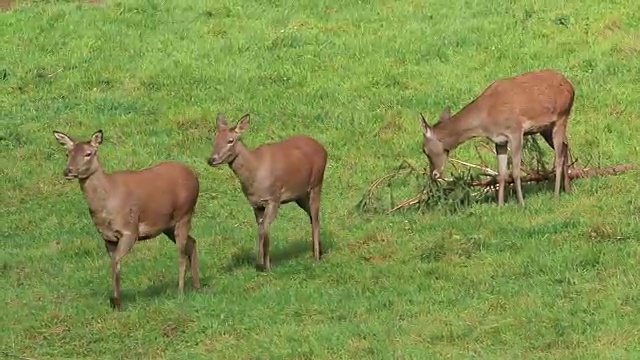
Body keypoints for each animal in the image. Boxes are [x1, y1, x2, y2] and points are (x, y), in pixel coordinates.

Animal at [52, 129, 200, 310]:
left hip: (185, 213)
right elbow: (115, 264)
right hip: (168, 225)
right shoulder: (107, 237)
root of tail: (194, 175)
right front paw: (116, 301)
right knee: (192, 243)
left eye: (88, 153)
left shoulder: (130, 230)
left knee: (181, 252)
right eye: (68, 153)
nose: (68, 170)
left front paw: (115, 301)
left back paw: (180, 292)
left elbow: (116, 261)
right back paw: (197, 286)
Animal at [208, 112, 328, 270]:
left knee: (315, 217)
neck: (255, 172)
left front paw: (267, 265)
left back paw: (316, 257)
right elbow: (260, 228)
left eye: (230, 140)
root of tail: (323, 149)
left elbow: (265, 228)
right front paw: (260, 263)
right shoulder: (255, 203)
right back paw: (319, 251)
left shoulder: (274, 198)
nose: (211, 159)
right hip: (300, 195)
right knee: (312, 216)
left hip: (316, 183)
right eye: (215, 139)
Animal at [420, 69, 576, 207]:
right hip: (546, 128)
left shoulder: (515, 131)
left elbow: (516, 172)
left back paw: (556, 195)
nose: (433, 174)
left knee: (559, 156)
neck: (486, 118)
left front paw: (521, 203)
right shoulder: (499, 141)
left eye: (424, 150)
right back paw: (567, 189)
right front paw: (500, 205)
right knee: (565, 146)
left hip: (562, 116)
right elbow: (501, 173)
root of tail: (570, 85)